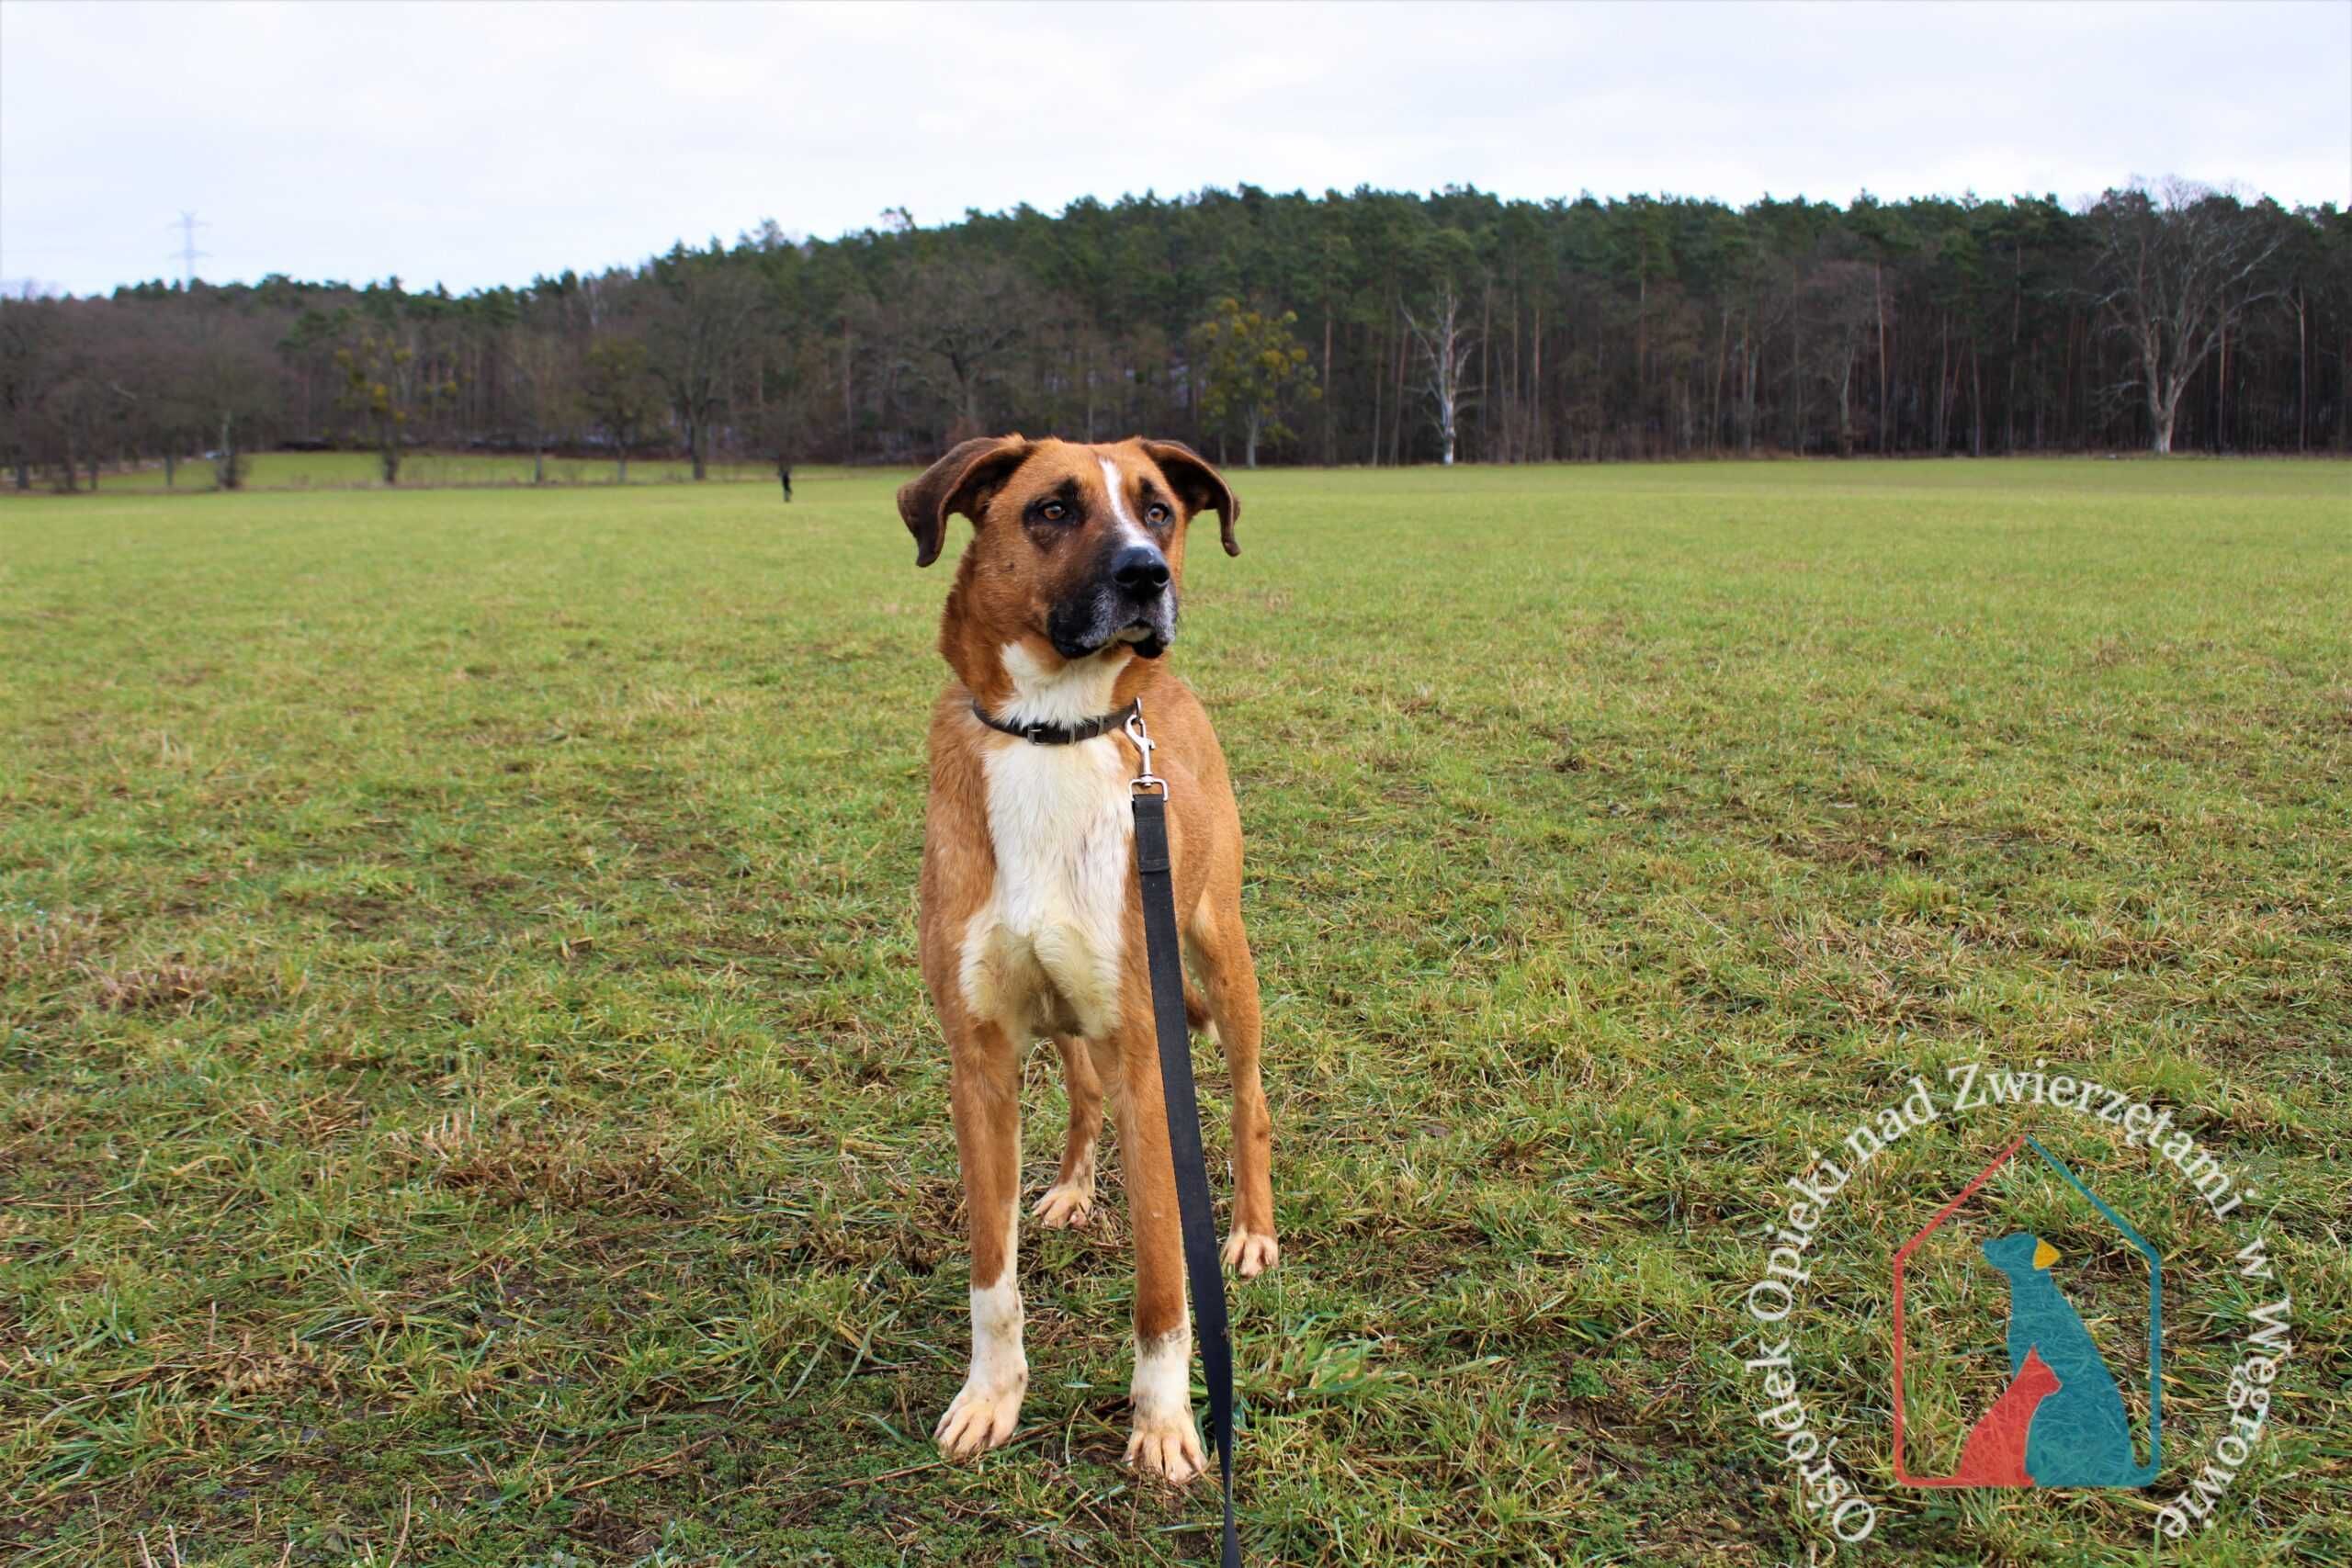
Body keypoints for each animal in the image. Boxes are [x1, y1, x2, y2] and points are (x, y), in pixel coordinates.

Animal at [898, 439, 1279, 1485]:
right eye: (1053, 510)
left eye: (1158, 511)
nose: (1146, 578)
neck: (1053, 732)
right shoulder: (981, 1062)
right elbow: (991, 1275)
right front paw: (991, 1398)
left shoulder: (1151, 1057)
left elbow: (1163, 1281)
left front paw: (1165, 1425)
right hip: (1069, 1017)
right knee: (1081, 1089)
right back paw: (1071, 1186)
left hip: (1219, 956)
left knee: (1251, 1100)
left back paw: (1252, 1232)